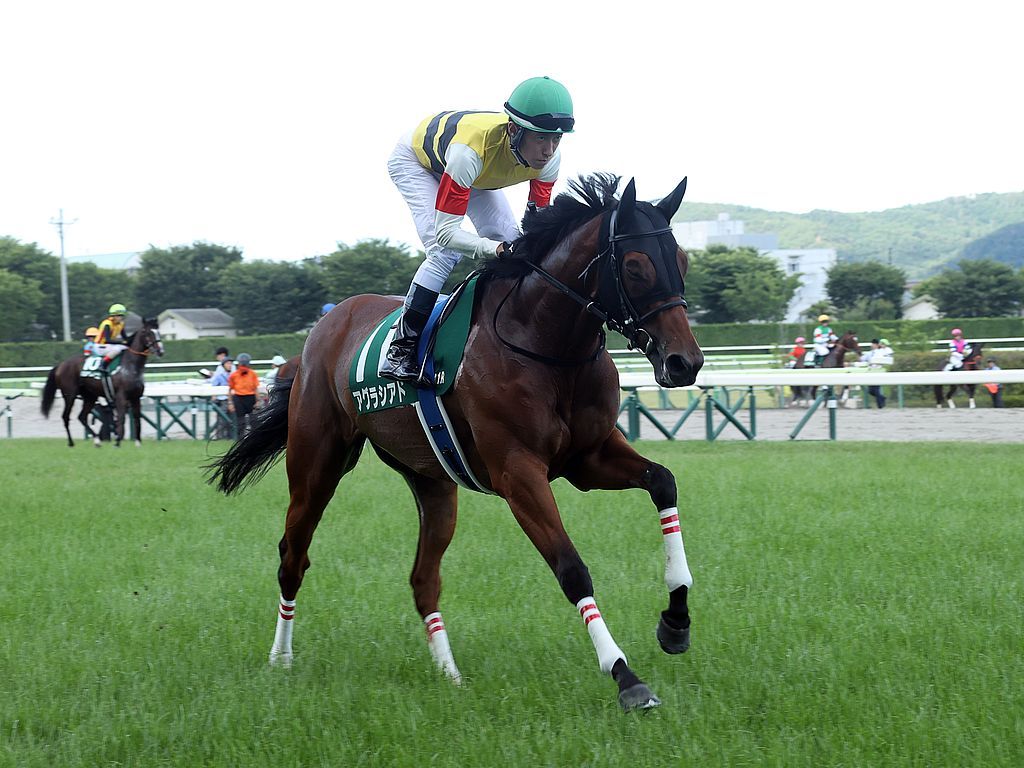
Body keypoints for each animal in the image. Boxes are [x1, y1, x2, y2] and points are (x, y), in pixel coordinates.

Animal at [41, 318, 165, 446]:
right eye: (148, 332)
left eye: (158, 331)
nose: (160, 350)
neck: (130, 366)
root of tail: (60, 365)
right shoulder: (121, 397)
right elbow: (121, 419)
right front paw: (117, 442)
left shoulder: (136, 397)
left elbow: (137, 419)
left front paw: (138, 443)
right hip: (70, 395)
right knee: (65, 416)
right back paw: (71, 443)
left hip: (90, 396)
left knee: (82, 417)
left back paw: (97, 440)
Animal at [207, 173, 704, 712]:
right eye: (634, 267)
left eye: (682, 261)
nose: (685, 362)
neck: (545, 344)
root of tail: (328, 323)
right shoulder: (518, 473)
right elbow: (572, 568)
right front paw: (625, 676)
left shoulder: (588, 458)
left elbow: (664, 482)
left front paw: (675, 621)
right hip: (316, 464)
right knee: (292, 557)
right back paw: (281, 659)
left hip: (433, 482)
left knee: (423, 579)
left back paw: (450, 675)